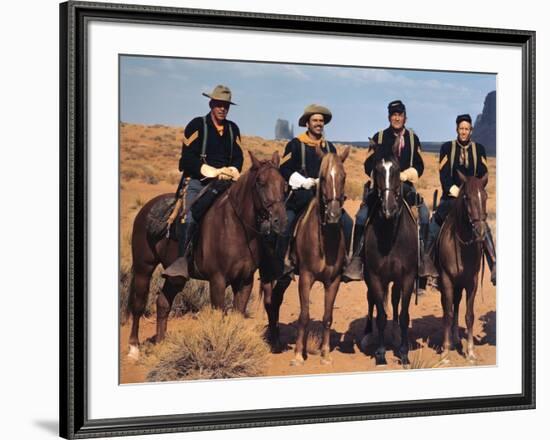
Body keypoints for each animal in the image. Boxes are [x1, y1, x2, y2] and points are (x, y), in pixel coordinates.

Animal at [126, 150, 286, 358]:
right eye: (260, 182)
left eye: (284, 184)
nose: (279, 221)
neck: (236, 227)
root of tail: (145, 209)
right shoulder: (217, 280)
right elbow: (219, 317)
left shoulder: (245, 281)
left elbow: (237, 316)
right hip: (143, 267)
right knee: (138, 303)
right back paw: (134, 348)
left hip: (175, 277)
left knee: (162, 302)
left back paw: (161, 344)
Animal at [286, 146, 352, 366]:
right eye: (322, 177)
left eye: (343, 176)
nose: (333, 215)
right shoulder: (306, 277)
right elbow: (304, 316)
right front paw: (298, 354)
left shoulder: (334, 280)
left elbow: (327, 317)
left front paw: (325, 353)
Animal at [362, 151, 418, 364]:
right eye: (377, 170)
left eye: (396, 169)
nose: (389, 208)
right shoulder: (375, 277)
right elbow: (380, 316)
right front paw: (380, 354)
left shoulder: (408, 277)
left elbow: (403, 315)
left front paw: (403, 352)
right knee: (371, 300)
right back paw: (367, 334)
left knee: (394, 300)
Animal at [438, 168, 490, 360]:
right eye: (466, 197)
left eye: (485, 196)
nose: (481, 232)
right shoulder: (446, 280)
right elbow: (447, 312)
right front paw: (445, 351)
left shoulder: (471, 282)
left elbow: (469, 315)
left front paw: (470, 351)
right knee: (448, 307)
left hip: (459, 285)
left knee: (457, 305)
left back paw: (455, 338)